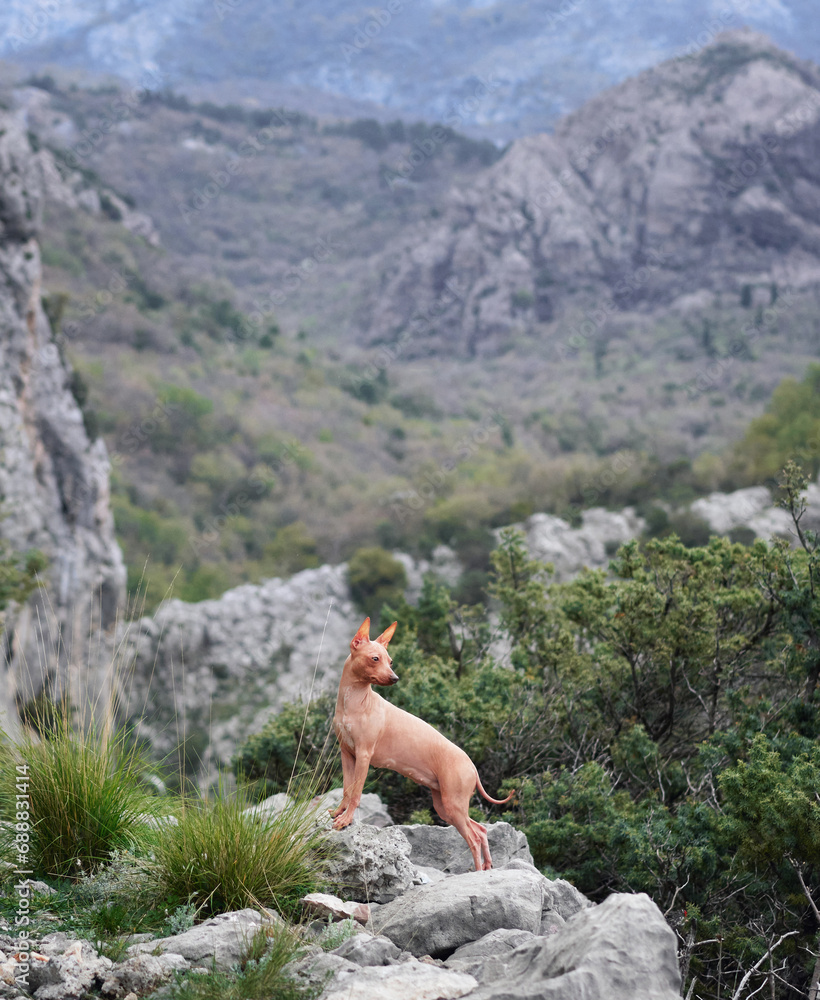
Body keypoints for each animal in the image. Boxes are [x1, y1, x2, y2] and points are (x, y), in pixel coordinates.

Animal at [328, 612, 512, 872]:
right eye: (375, 659)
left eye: (390, 661)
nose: (395, 678)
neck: (353, 702)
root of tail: (473, 767)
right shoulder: (347, 754)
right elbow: (346, 790)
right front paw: (339, 813)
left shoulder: (364, 755)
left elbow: (356, 793)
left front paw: (346, 820)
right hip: (445, 807)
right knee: (482, 830)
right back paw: (487, 868)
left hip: (453, 805)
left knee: (474, 838)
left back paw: (477, 872)